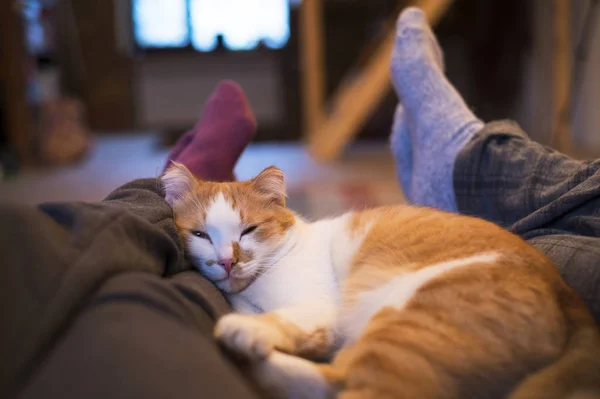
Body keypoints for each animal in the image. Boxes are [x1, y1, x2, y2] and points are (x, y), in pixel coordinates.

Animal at [163, 164, 600, 398]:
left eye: (249, 230)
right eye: (201, 235)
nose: (227, 261)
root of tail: (568, 294)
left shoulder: (317, 309)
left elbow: (285, 321)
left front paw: (249, 330)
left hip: (404, 321)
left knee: (350, 386)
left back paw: (240, 348)